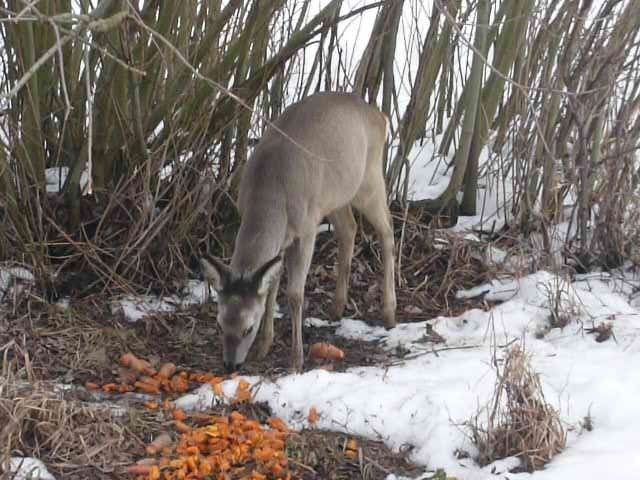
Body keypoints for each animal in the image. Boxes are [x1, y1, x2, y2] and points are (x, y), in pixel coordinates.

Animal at [202, 93, 398, 372]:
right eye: (220, 323)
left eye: (247, 328)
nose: (231, 365)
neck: (269, 195)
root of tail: (380, 116)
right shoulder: (283, 238)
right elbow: (271, 289)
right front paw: (264, 346)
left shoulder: (306, 229)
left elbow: (295, 294)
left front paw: (296, 359)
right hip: (334, 195)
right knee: (349, 228)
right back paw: (337, 307)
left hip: (368, 181)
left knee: (387, 229)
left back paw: (389, 312)